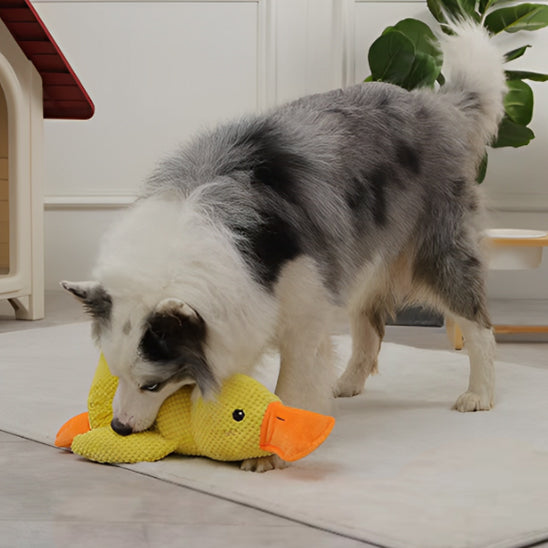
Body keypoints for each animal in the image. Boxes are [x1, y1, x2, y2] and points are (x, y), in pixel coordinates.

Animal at [63, 22, 506, 470]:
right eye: (115, 373)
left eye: (153, 385)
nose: (120, 427)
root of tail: (434, 105)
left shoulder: (303, 309)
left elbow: (291, 381)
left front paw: (269, 455)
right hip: (358, 259)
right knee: (370, 323)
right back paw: (347, 383)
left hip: (437, 251)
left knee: (478, 324)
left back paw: (480, 394)